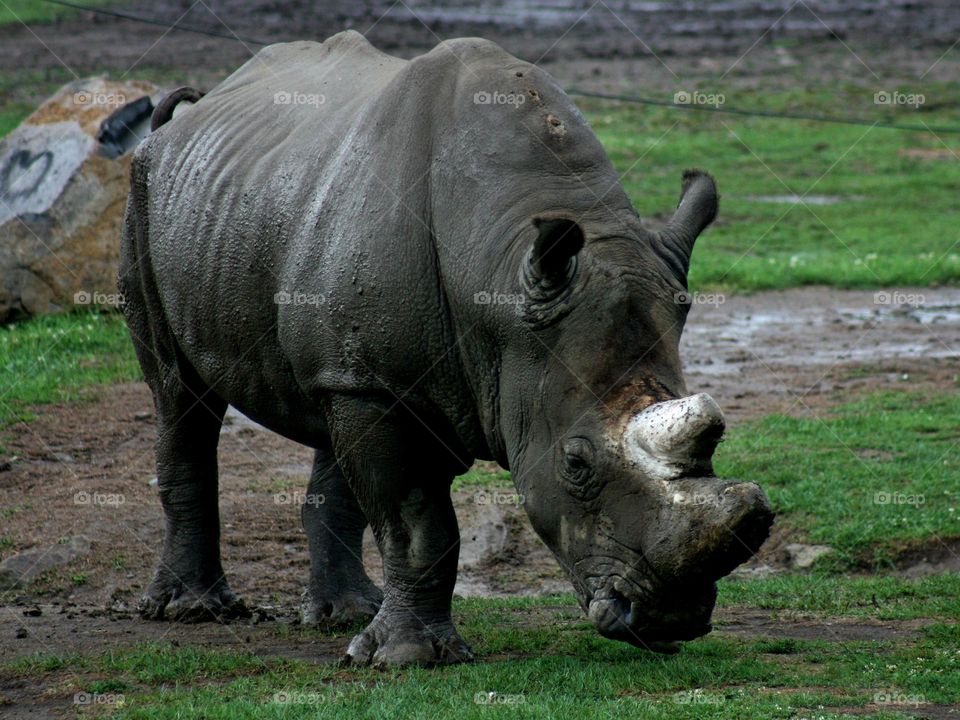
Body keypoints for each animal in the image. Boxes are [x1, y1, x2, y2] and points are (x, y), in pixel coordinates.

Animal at [120, 30, 773, 667]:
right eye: (576, 464)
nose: (671, 619)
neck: (500, 284)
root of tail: (191, 115)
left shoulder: (405, 377)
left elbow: (398, 502)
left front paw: (388, 645)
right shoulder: (387, 387)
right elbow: (417, 522)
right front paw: (408, 658)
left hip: (294, 240)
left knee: (327, 403)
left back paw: (344, 615)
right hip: (146, 196)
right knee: (180, 396)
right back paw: (192, 610)